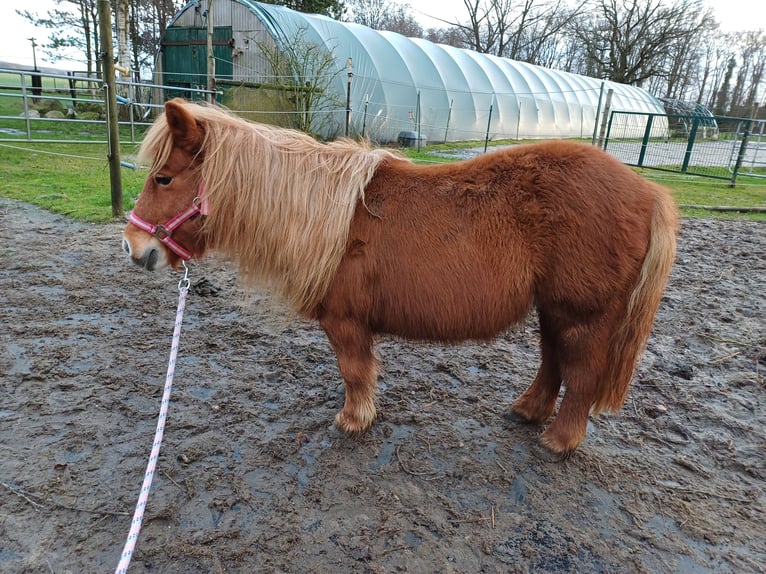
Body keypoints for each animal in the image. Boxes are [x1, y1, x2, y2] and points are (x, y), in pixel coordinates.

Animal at [123, 100, 680, 460]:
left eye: (163, 178)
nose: (134, 248)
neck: (326, 216)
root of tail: (647, 191)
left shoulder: (346, 323)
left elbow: (354, 372)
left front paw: (353, 421)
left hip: (581, 315)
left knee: (580, 374)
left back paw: (559, 441)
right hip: (553, 311)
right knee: (553, 364)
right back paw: (527, 411)